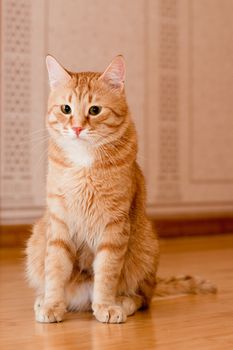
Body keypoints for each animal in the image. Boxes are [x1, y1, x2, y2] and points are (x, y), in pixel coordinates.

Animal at [25, 56, 215, 324]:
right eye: (66, 109)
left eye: (94, 110)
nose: (77, 128)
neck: (84, 162)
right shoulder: (59, 224)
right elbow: (55, 269)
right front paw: (52, 304)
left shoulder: (113, 227)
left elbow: (106, 273)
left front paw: (106, 305)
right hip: (38, 237)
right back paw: (45, 300)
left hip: (145, 244)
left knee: (143, 298)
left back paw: (122, 303)